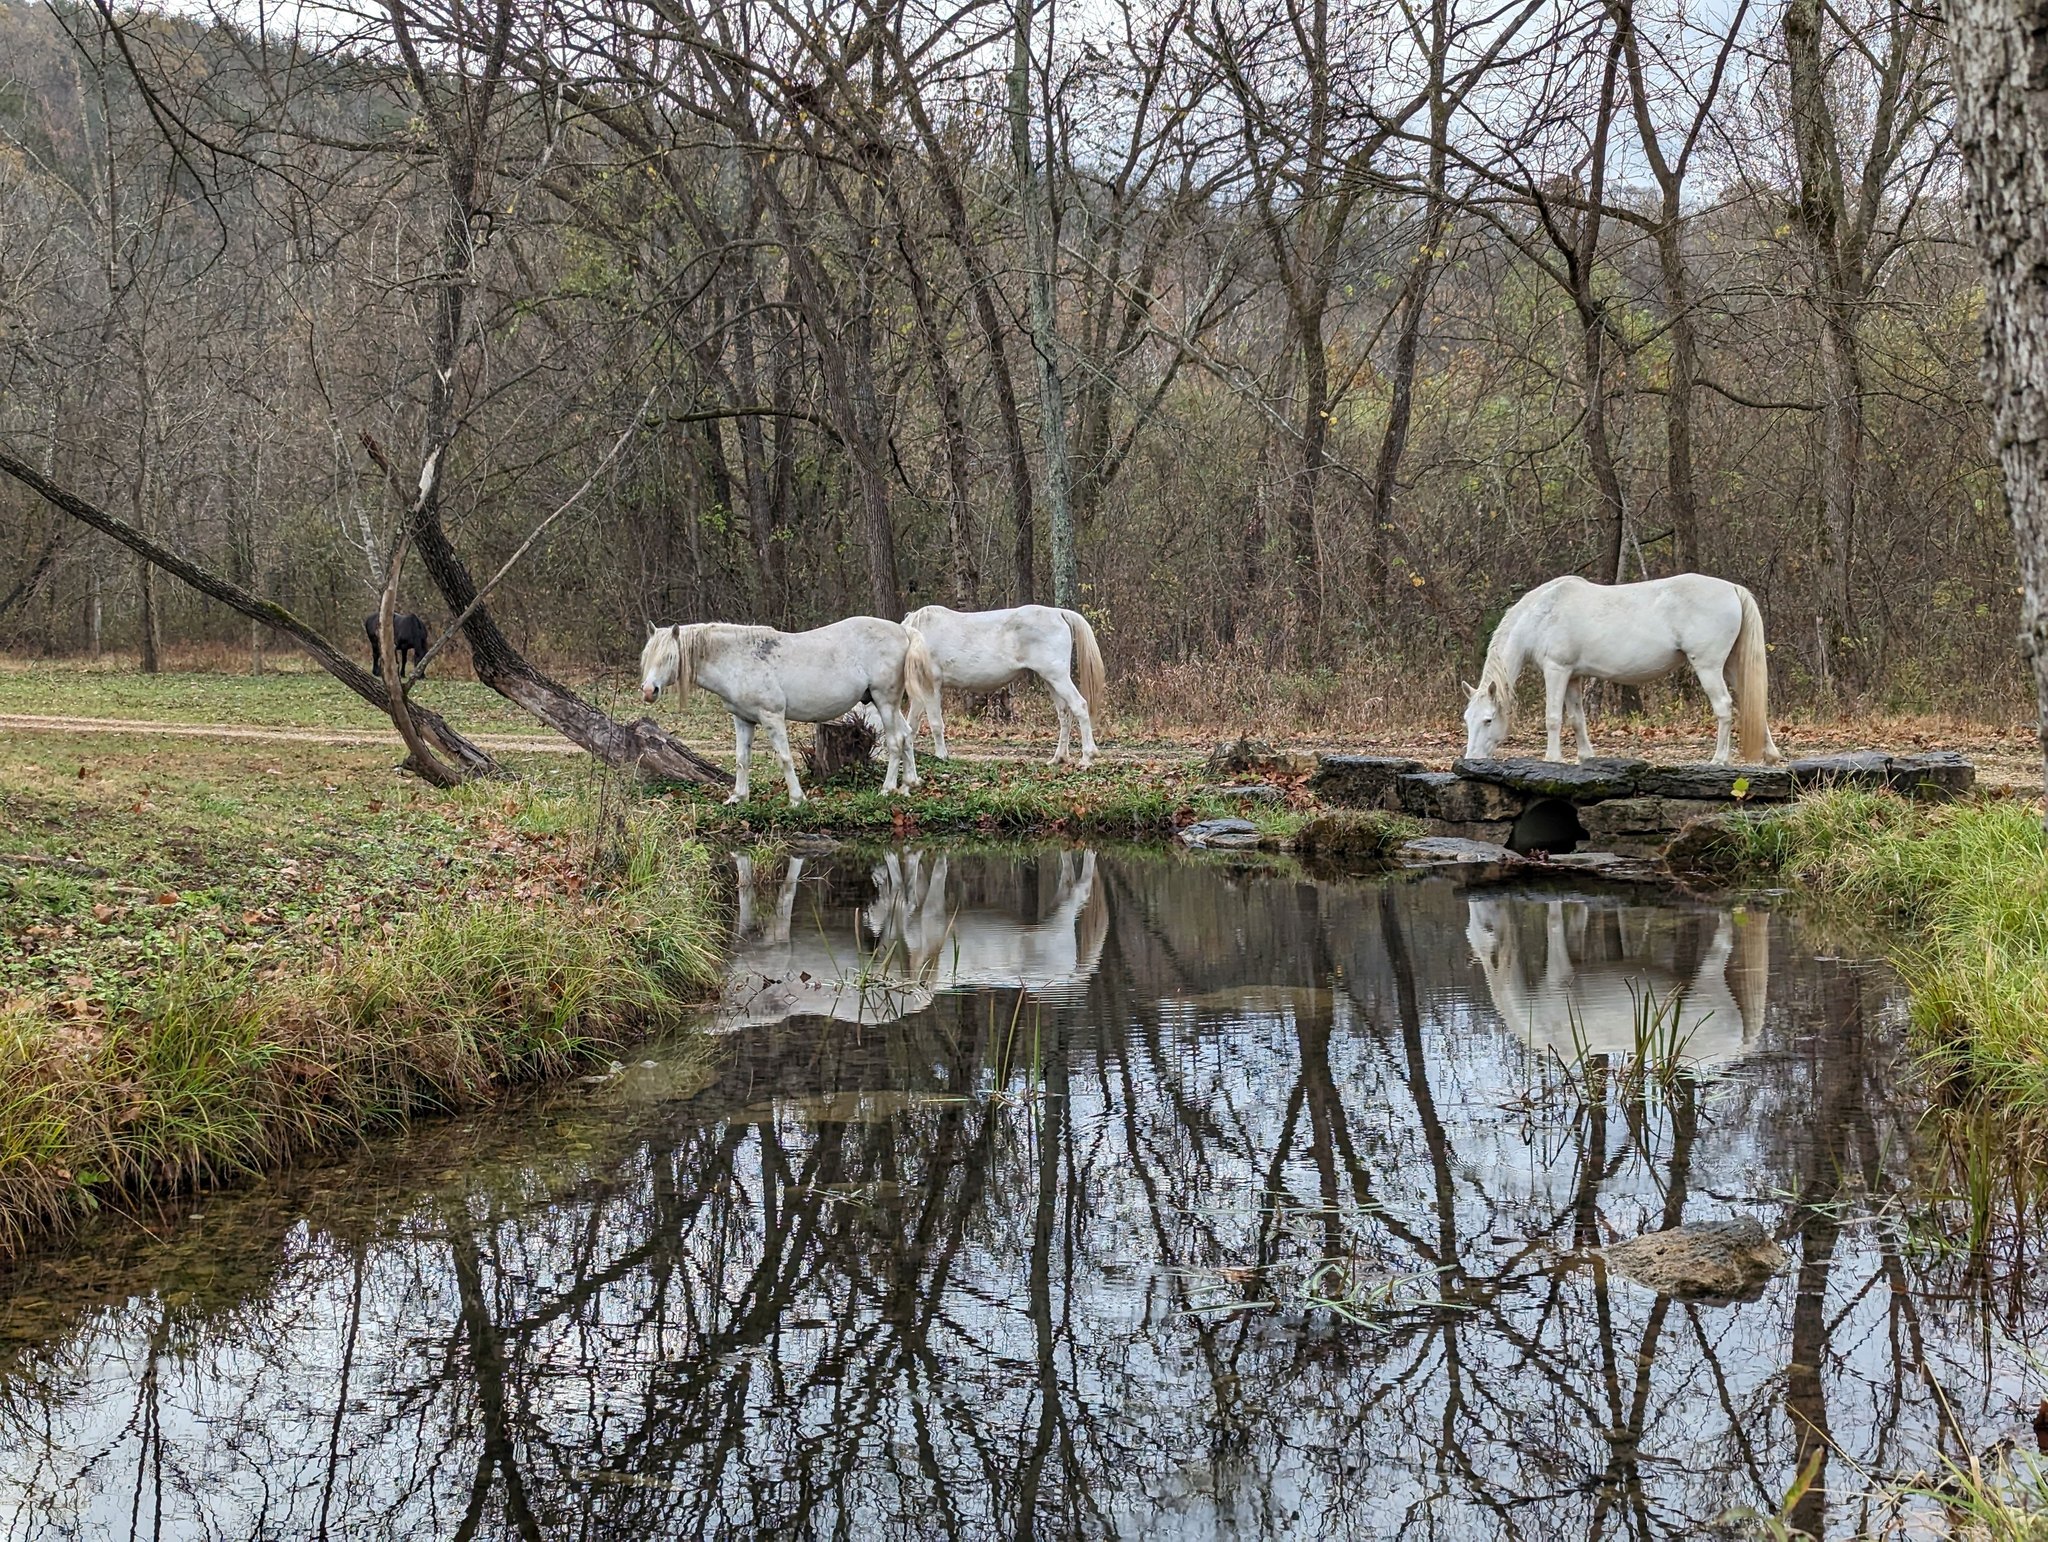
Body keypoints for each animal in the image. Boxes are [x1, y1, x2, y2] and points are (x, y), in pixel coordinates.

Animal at [638, 617, 940, 805]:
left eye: (669, 657)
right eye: (647, 656)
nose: (649, 691)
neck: (738, 659)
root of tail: (903, 631)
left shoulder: (771, 716)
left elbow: (784, 757)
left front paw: (797, 799)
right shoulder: (743, 720)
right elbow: (742, 759)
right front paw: (738, 797)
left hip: (885, 700)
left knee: (895, 742)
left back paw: (888, 789)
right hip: (886, 704)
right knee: (907, 736)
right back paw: (908, 785)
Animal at [895, 604, 1107, 767]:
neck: (917, 638)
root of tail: (1059, 613)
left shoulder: (932, 687)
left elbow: (935, 724)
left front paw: (941, 756)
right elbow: (912, 724)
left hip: (1058, 677)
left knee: (1079, 706)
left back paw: (1087, 758)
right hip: (1051, 680)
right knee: (1064, 714)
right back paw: (1058, 758)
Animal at [1462, 574, 1782, 765]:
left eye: (1488, 720)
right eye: (1467, 720)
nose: (1471, 758)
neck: (1542, 614)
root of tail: (1731, 589)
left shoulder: (1556, 671)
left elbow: (1553, 718)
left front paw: (1553, 759)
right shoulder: (1573, 676)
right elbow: (1577, 719)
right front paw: (1586, 757)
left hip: (1708, 666)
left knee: (1725, 707)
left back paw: (1719, 759)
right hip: (1730, 667)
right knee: (1750, 702)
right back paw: (1770, 755)